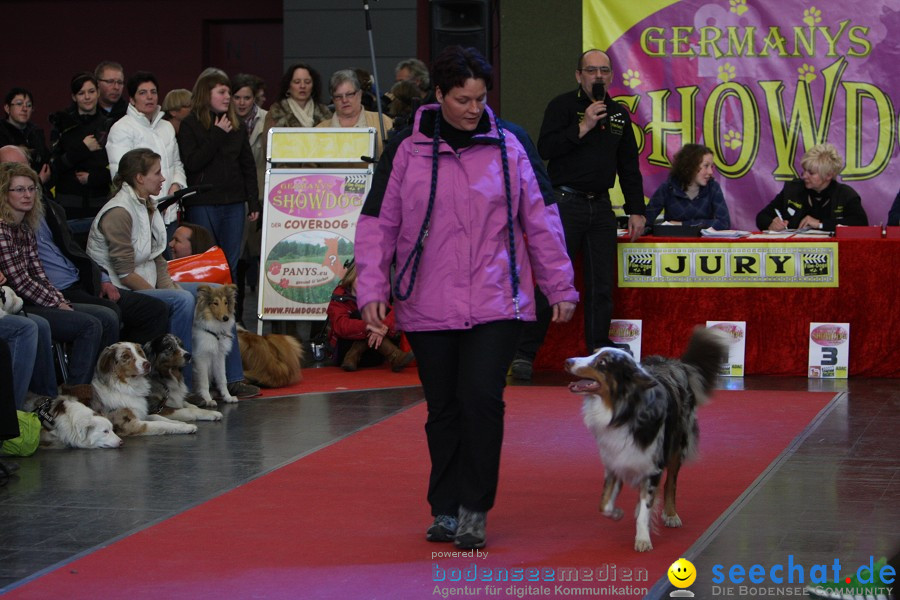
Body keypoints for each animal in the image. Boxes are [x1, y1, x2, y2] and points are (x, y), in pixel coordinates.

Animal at [568, 326, 728, 552]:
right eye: (593, 352)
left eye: (603, 363)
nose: (568, 361)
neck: (623, 411)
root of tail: (672, 362)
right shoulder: (615, 458)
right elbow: (604, 504)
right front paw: (617, 513)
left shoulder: (653, 465)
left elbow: (647, 506)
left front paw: (643, 538)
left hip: (676, 446)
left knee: (671, 483)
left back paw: (671, 514)